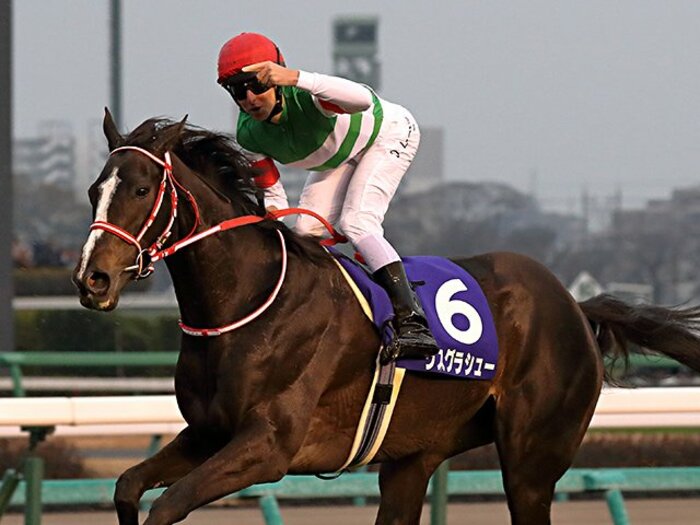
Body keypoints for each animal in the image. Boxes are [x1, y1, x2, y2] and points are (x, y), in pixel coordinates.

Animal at [73, 110, 700, 525]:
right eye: (93, 189)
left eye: (142, 188)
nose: (91, 279)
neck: (249, 304)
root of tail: (573, 303)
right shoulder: (208, 433)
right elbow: (127, 487)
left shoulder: (267, 447)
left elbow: (166, 506)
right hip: (413, 458)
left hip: (532, 459)